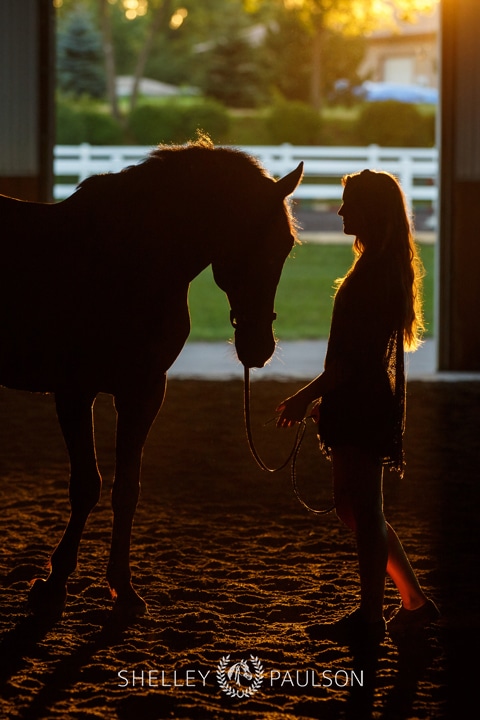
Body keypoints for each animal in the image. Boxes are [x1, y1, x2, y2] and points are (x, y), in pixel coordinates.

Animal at [0, 138, 304, 616]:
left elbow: (127, 489)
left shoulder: (143, 392)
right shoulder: (74, 392)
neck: (125, 262)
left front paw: (123, 589)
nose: (258, 348)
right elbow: (86, 485)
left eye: (286, 245)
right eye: (253, 241)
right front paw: (53, 584)